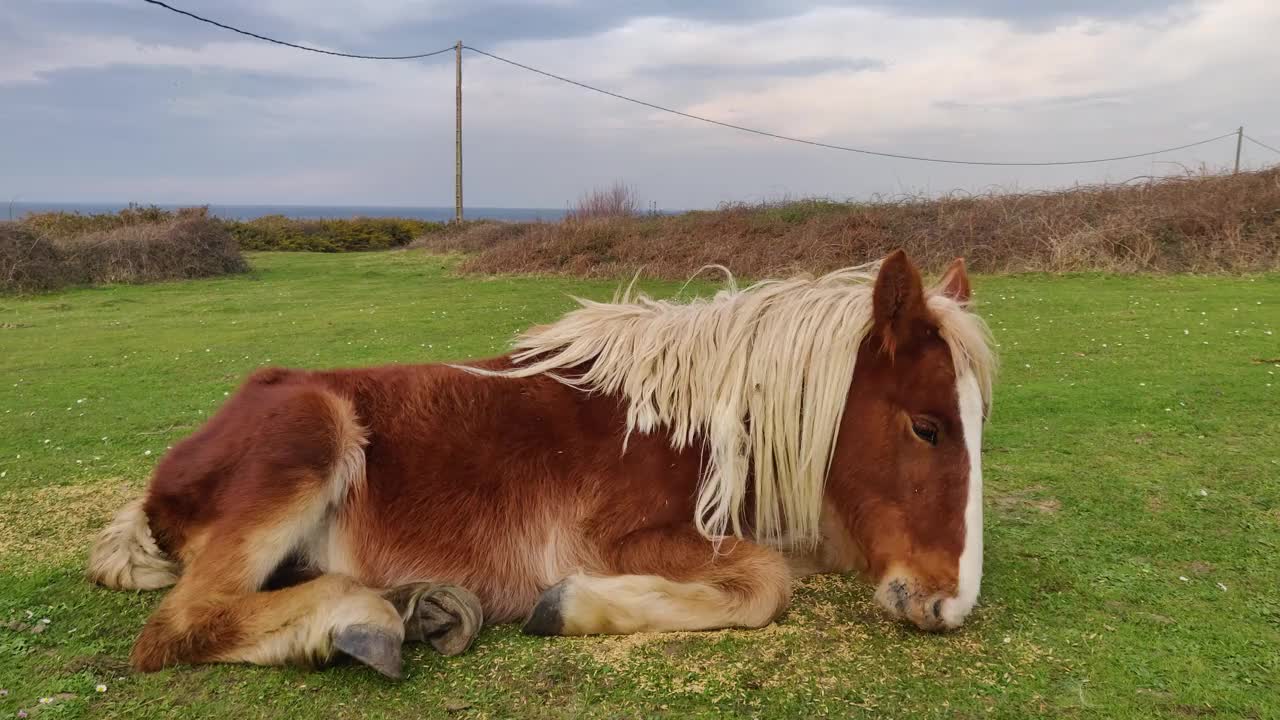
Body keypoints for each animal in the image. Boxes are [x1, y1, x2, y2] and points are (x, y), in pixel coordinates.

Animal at [85, 249, 993, 676]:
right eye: (927, 428)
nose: (950, 605)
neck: (695, 425)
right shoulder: (628, 539)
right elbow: (766, 582)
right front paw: (568, 605)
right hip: (312, 429)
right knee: (182, 626)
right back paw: (368, 619)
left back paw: (424, 607)